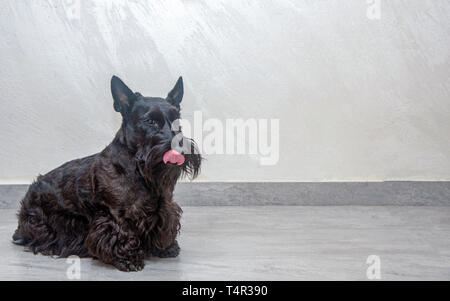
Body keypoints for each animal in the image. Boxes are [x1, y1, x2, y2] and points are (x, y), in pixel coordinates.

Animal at [11, 74, 200, 270]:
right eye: (150, 121)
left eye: (177, 120)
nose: (181, 149)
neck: (139, 170)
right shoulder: (116, 214)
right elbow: (121, 233)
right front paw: (128, 258)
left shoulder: (166, 208)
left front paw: (166, 248)